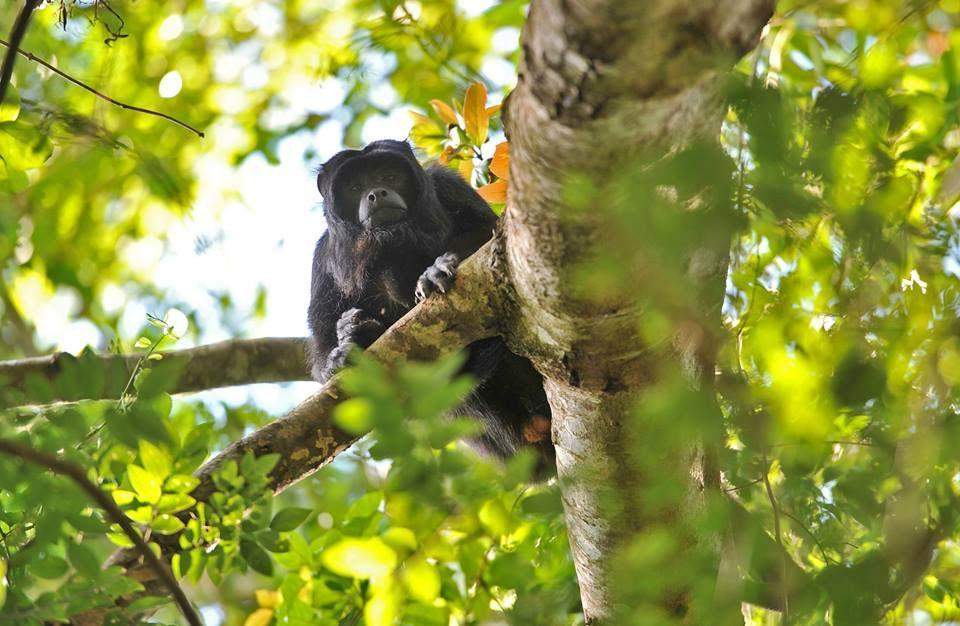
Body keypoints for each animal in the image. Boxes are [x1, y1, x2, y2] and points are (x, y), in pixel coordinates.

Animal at [308, 138, 556, 468]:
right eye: (355, 186)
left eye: (389, 176)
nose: (376, 193)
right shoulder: (322, 258)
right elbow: (323, 351)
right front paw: (347, 340)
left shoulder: (448, 184)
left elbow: (493, 240)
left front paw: (435, 270)